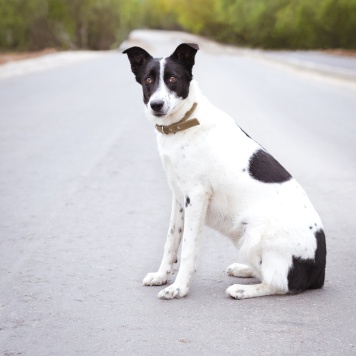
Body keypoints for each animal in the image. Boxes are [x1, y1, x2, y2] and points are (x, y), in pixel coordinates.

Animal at [123, 42, 326, 300]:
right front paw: (161, 276)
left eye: (172, 78)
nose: (156, 105)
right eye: (148, 80)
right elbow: (171, 240)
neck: (184, 123)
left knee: (280, 284)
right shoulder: (179, 198)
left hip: (255, 234)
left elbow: (188, 247)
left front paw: (179, 288)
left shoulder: (196, 197)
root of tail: (319, 273)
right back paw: (244, 270)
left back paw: (242, 289)